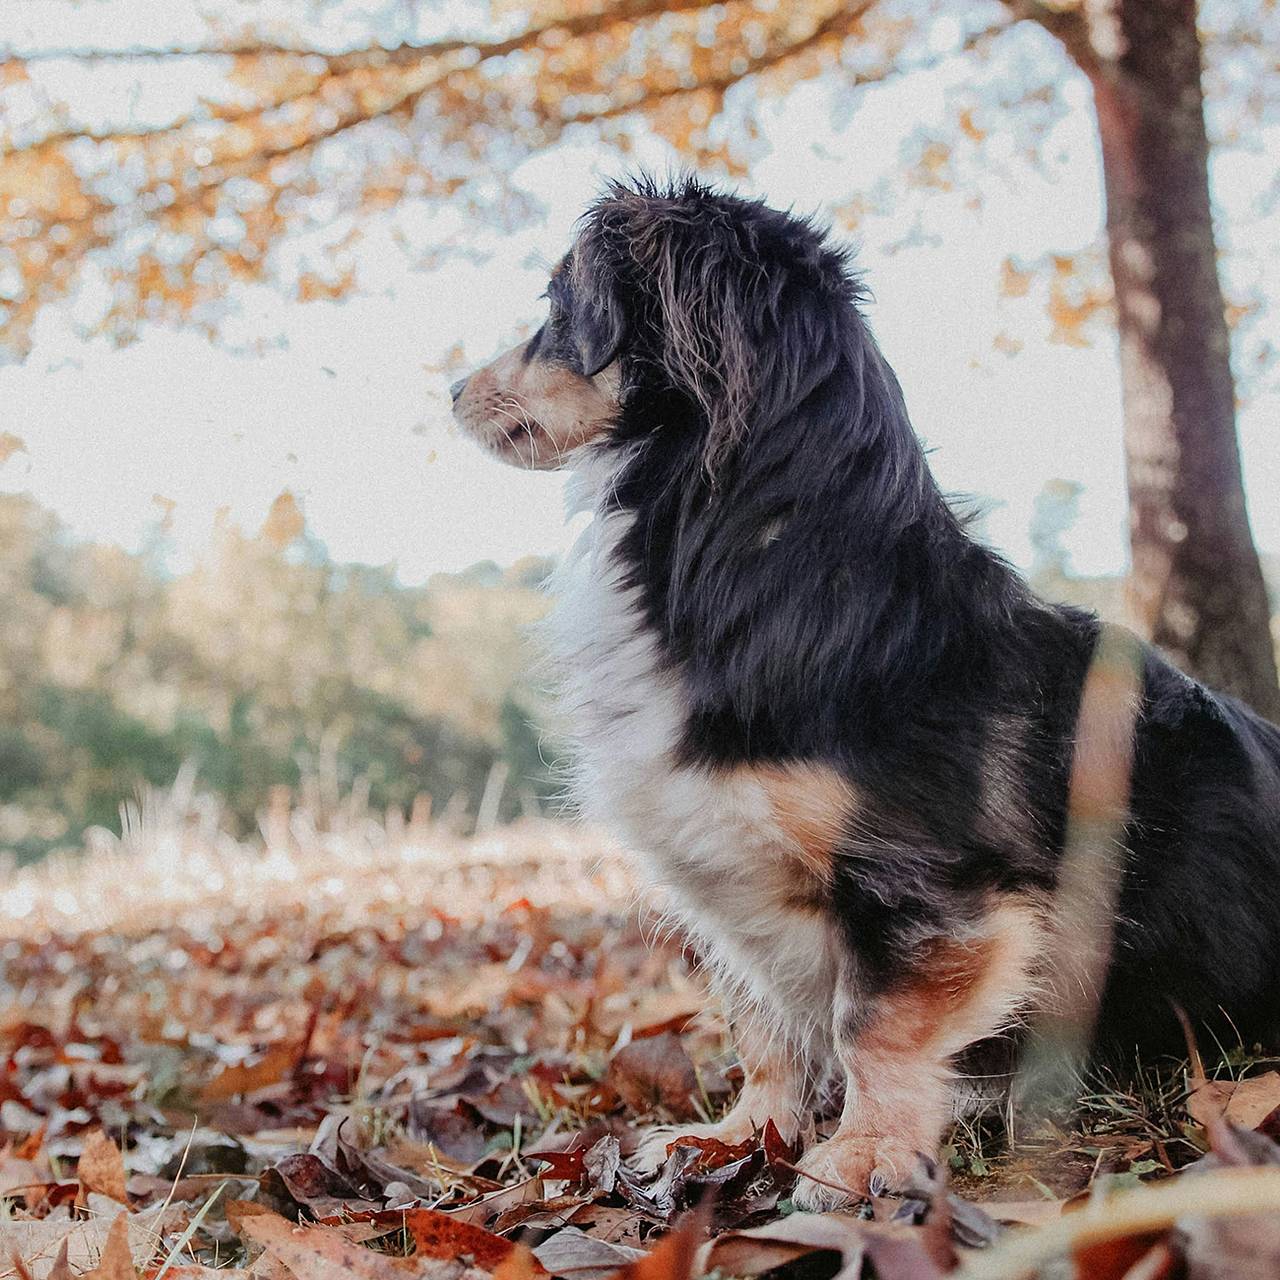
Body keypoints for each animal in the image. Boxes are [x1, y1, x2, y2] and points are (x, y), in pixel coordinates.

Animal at [450, 175, 1280, 1203]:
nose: (448, 391)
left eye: (558, 310)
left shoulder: (921, 886)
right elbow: (764, 1025)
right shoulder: (733, 890)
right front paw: (736, 1137)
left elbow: (870, 1025)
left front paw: (864, 1155)